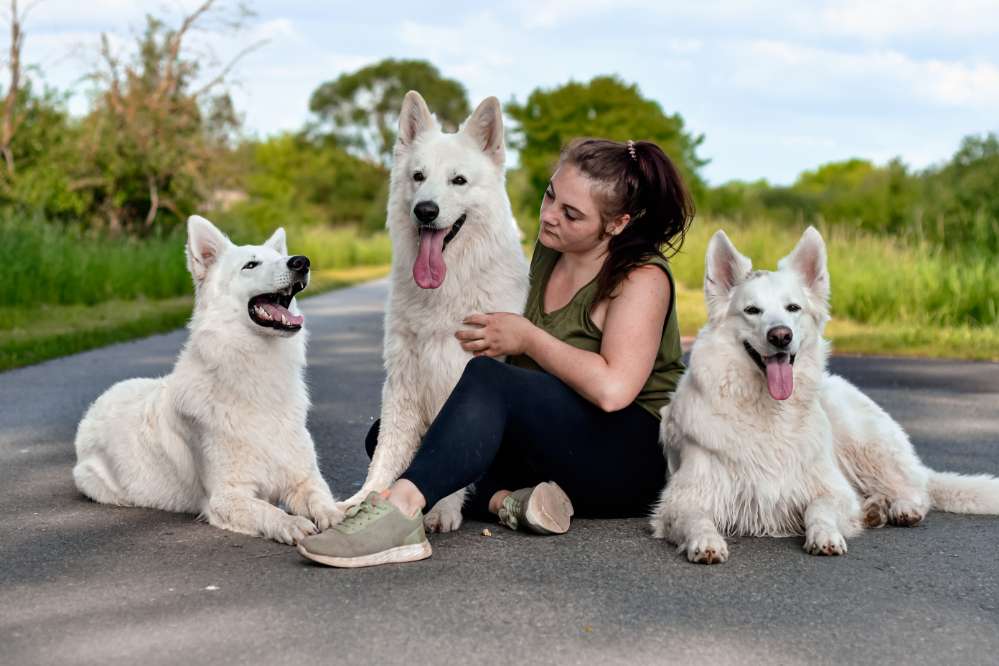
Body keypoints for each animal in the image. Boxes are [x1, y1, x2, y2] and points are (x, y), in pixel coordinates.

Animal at [72, 215, 342, 544]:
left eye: (281, 257)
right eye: (250, 265)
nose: (301, 262)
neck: (256, 374)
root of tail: (98, 402)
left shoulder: (304, 477)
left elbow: (322, 499)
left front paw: (337, 516)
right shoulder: (226, 496)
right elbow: (268, 511)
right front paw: (290, 523)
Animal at [648, 227, 999, 560]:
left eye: (793, 308)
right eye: (752, 310)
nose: (781, 336)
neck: (768, 412)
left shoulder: (830, 489)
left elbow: (819, 510)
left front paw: (826, 535)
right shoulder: (682, 499)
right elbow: (697, 519)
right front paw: (706, 542)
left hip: (861, 442)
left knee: (916, 488)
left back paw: (901, 508)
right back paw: (875, 509)